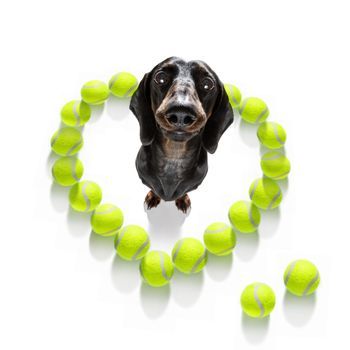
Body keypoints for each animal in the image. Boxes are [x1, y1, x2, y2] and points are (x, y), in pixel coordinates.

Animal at [129, 56, 232, 213]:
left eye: (207, 84)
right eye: (160, 78)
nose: (181, 113)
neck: (173, 158)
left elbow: (183, 192)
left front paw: (183, 200)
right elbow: (153, 189)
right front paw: (152, 197)